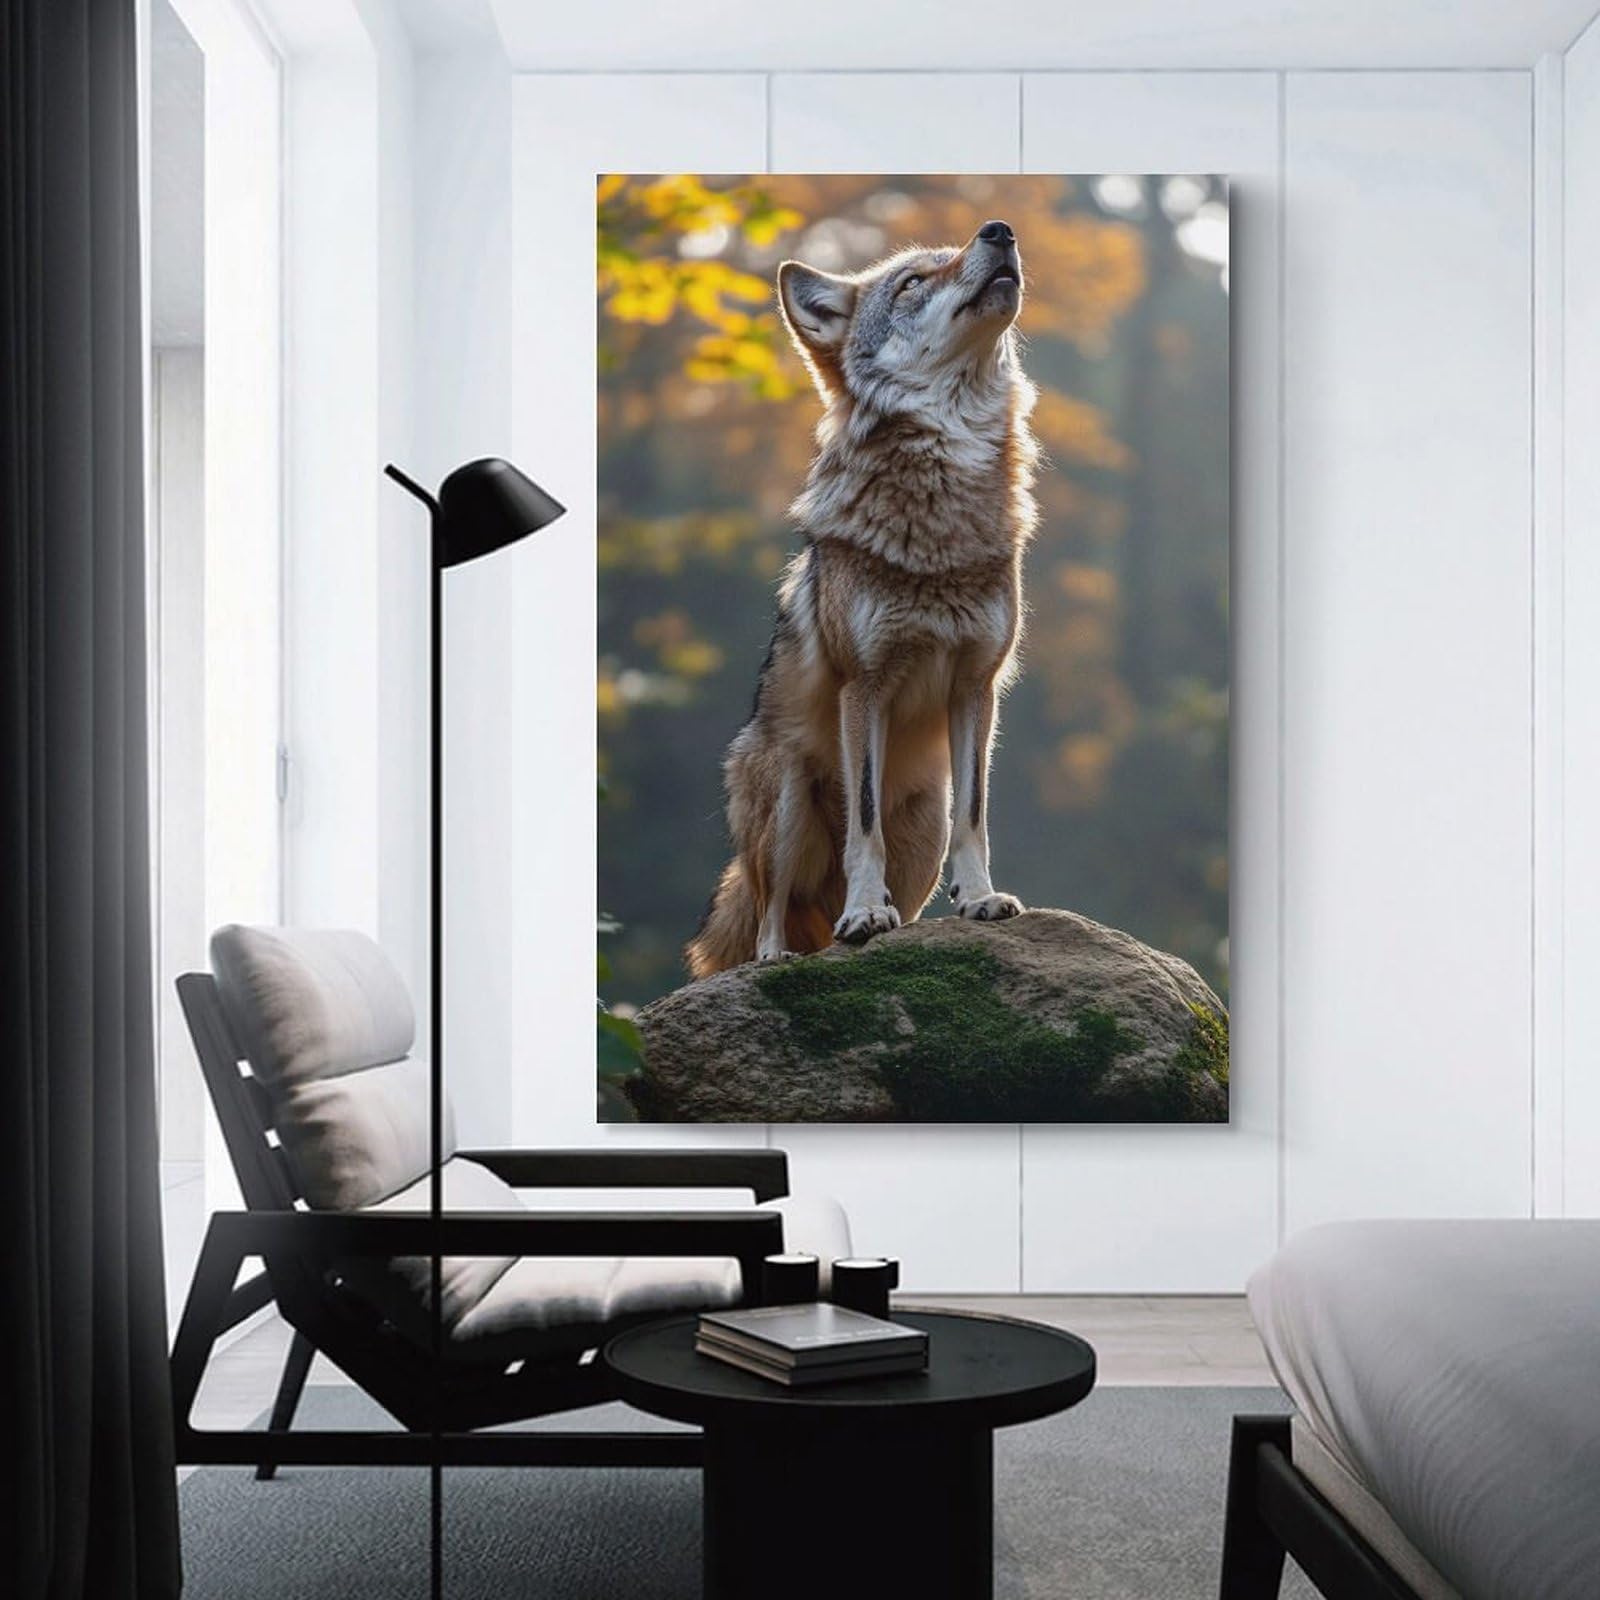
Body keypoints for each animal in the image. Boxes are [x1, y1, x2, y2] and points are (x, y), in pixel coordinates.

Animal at [685, 219, 1039, 979]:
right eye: (912, 282)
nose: (999, 231)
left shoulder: (977, 686)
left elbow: (976, 817)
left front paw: (982, 900)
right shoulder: (864, 687)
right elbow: (864, 822)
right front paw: (863, 913)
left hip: (925, 827)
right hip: (787, 802)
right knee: (770, 909)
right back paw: (782, 955)